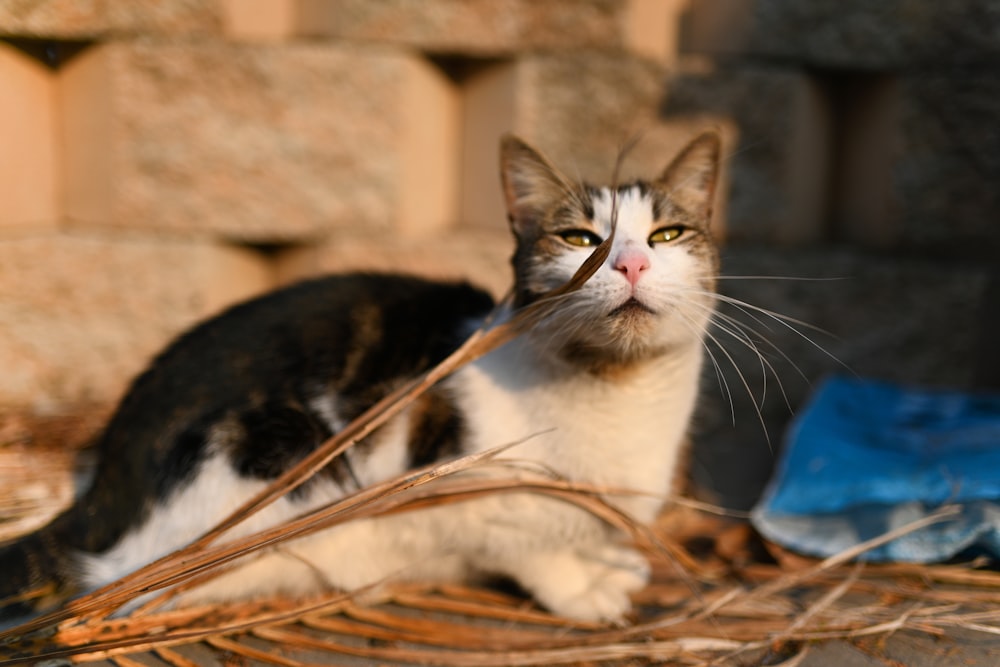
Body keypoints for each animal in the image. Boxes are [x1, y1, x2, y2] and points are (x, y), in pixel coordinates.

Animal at [0, 132, 720, 628]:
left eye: (668, 234)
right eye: (579, 238)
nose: (629, 263)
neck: (616, 396)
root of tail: (105, 480)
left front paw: (605, 560)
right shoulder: (456, 490)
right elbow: (523, 544)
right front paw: (581, 586)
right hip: (278, 463)